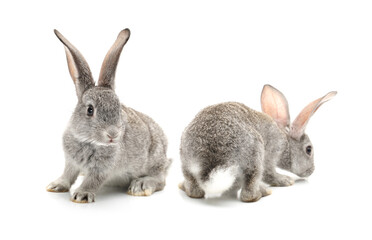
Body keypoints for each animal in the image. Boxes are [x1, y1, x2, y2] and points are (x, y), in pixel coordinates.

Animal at [45, 29, 171, 203]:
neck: (89, 141)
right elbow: (68, 174)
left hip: (154, 159)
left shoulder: (103, 168)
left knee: (160, 179)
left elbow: (93, 180)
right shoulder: (71, 162)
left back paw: (140, 185)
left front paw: (82, 194)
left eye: (118, 108)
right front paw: (56, 185)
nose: (113, 134)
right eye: (90, 110)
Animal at [180, 85, 338, 202]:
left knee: (195, 190)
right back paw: (263, 192)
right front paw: (285, 180)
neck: (286, 142)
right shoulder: (272, 152)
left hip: (186, 161)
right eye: (309, 149)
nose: (311, 171)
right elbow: (270, 173)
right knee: (248, 193)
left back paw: (184, 186)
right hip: (254, 155)